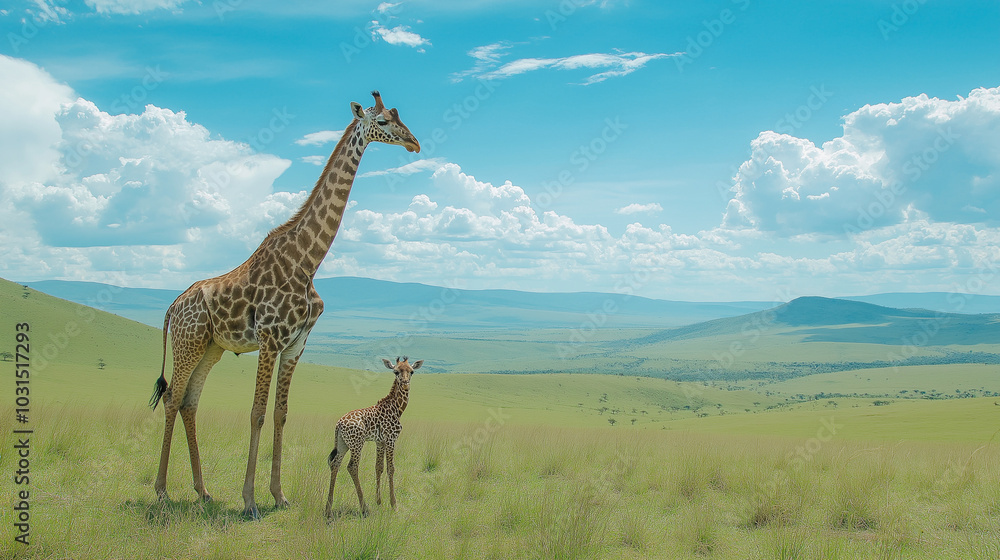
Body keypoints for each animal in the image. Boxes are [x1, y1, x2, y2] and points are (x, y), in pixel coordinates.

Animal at [325, 357, 422, 518]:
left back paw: (328, 508)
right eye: (396, 372)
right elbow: (391, 468)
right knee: (352, 467)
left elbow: (378, 467)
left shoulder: (380, 441)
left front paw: (379, 502)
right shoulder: (390, 439)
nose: (405, 384)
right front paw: (394, 505)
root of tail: (339, 424)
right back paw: (364, 508)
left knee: (335, 464)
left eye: (412, 371)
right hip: (357, 443)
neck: (397, 409)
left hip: (343, 444)